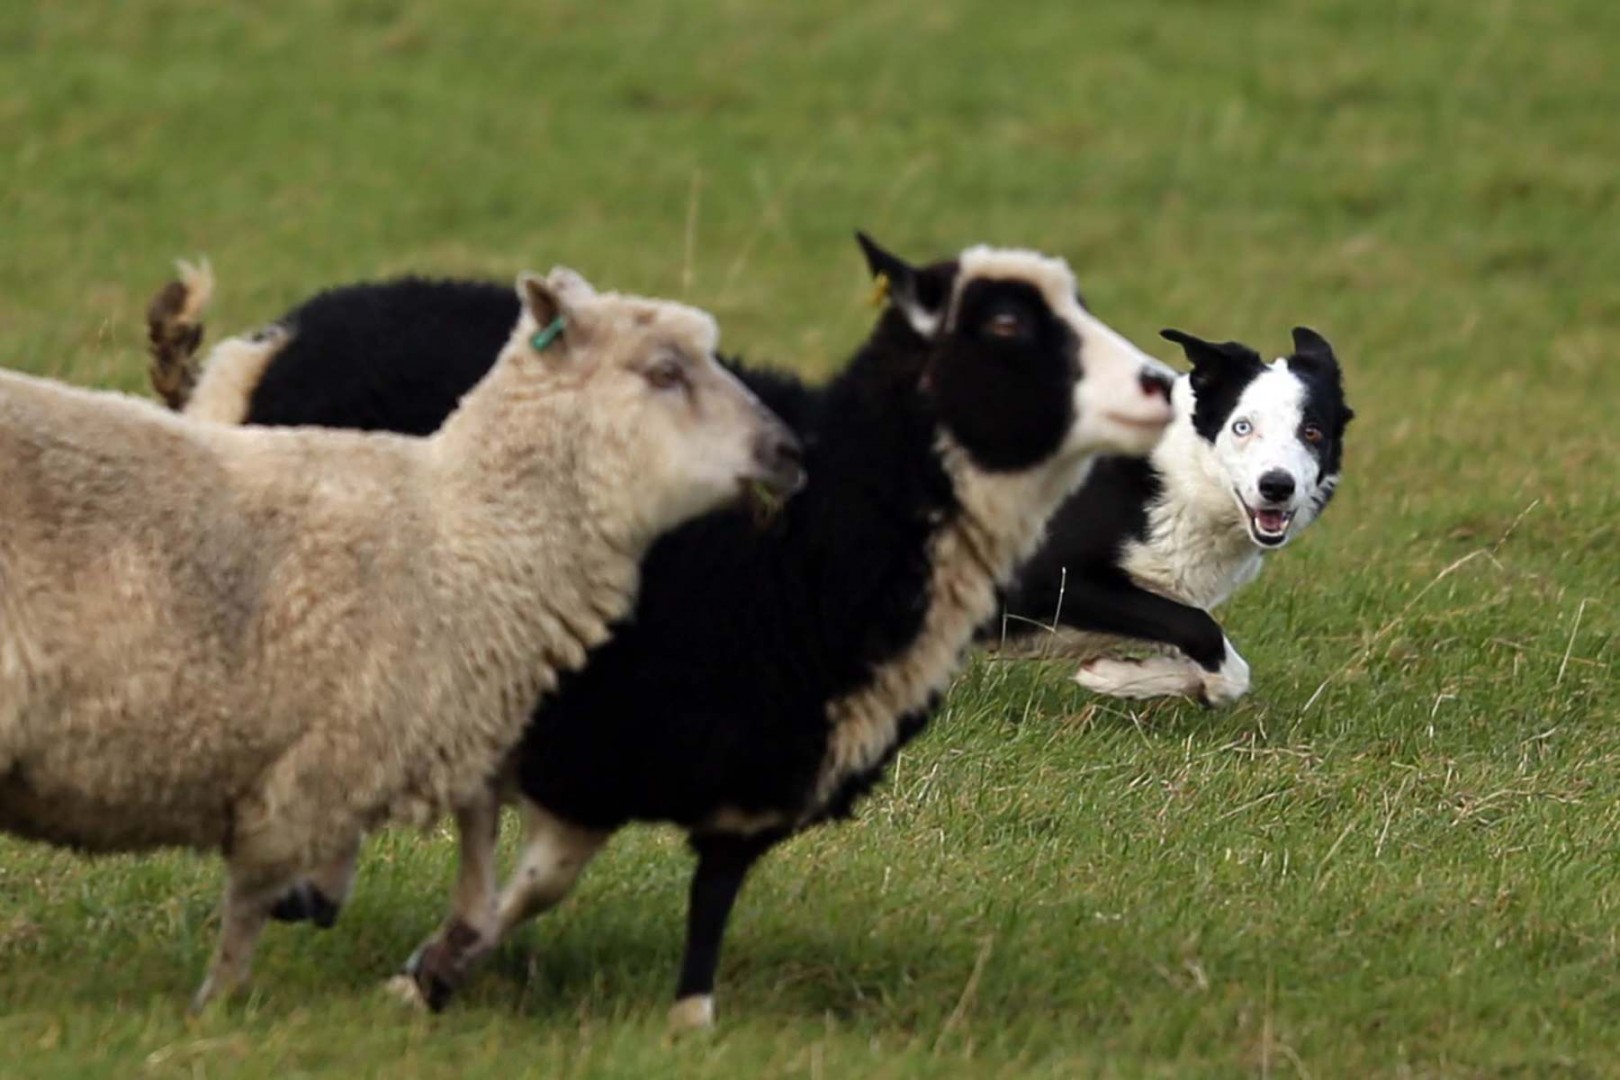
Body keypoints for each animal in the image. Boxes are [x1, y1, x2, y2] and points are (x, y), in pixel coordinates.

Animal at [0, 265, 806, 1010]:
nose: (792, 451)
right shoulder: (312, 769)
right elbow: (249, 909)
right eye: (665, 372)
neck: (465, 528)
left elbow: (475, 830)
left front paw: (446, 942)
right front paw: (217, 1010)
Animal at [145, 236, 1172, 1029]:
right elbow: (531, 879)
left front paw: (678, 1018)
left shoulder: (746, 775)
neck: (817, 535)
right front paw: (422, 973)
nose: (1160, 384)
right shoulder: (588, 741)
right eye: (1003, 325)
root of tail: (276, 338)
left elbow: (674, 904)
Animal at [984, 325, 1354, 705]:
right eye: (1242, 427)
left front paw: (1129, 676)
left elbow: (1228, 672)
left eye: (1312, 431)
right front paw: (1112, 677)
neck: (1183, 477)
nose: (1278, 486)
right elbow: (1201, 628)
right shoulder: (1046, 579)